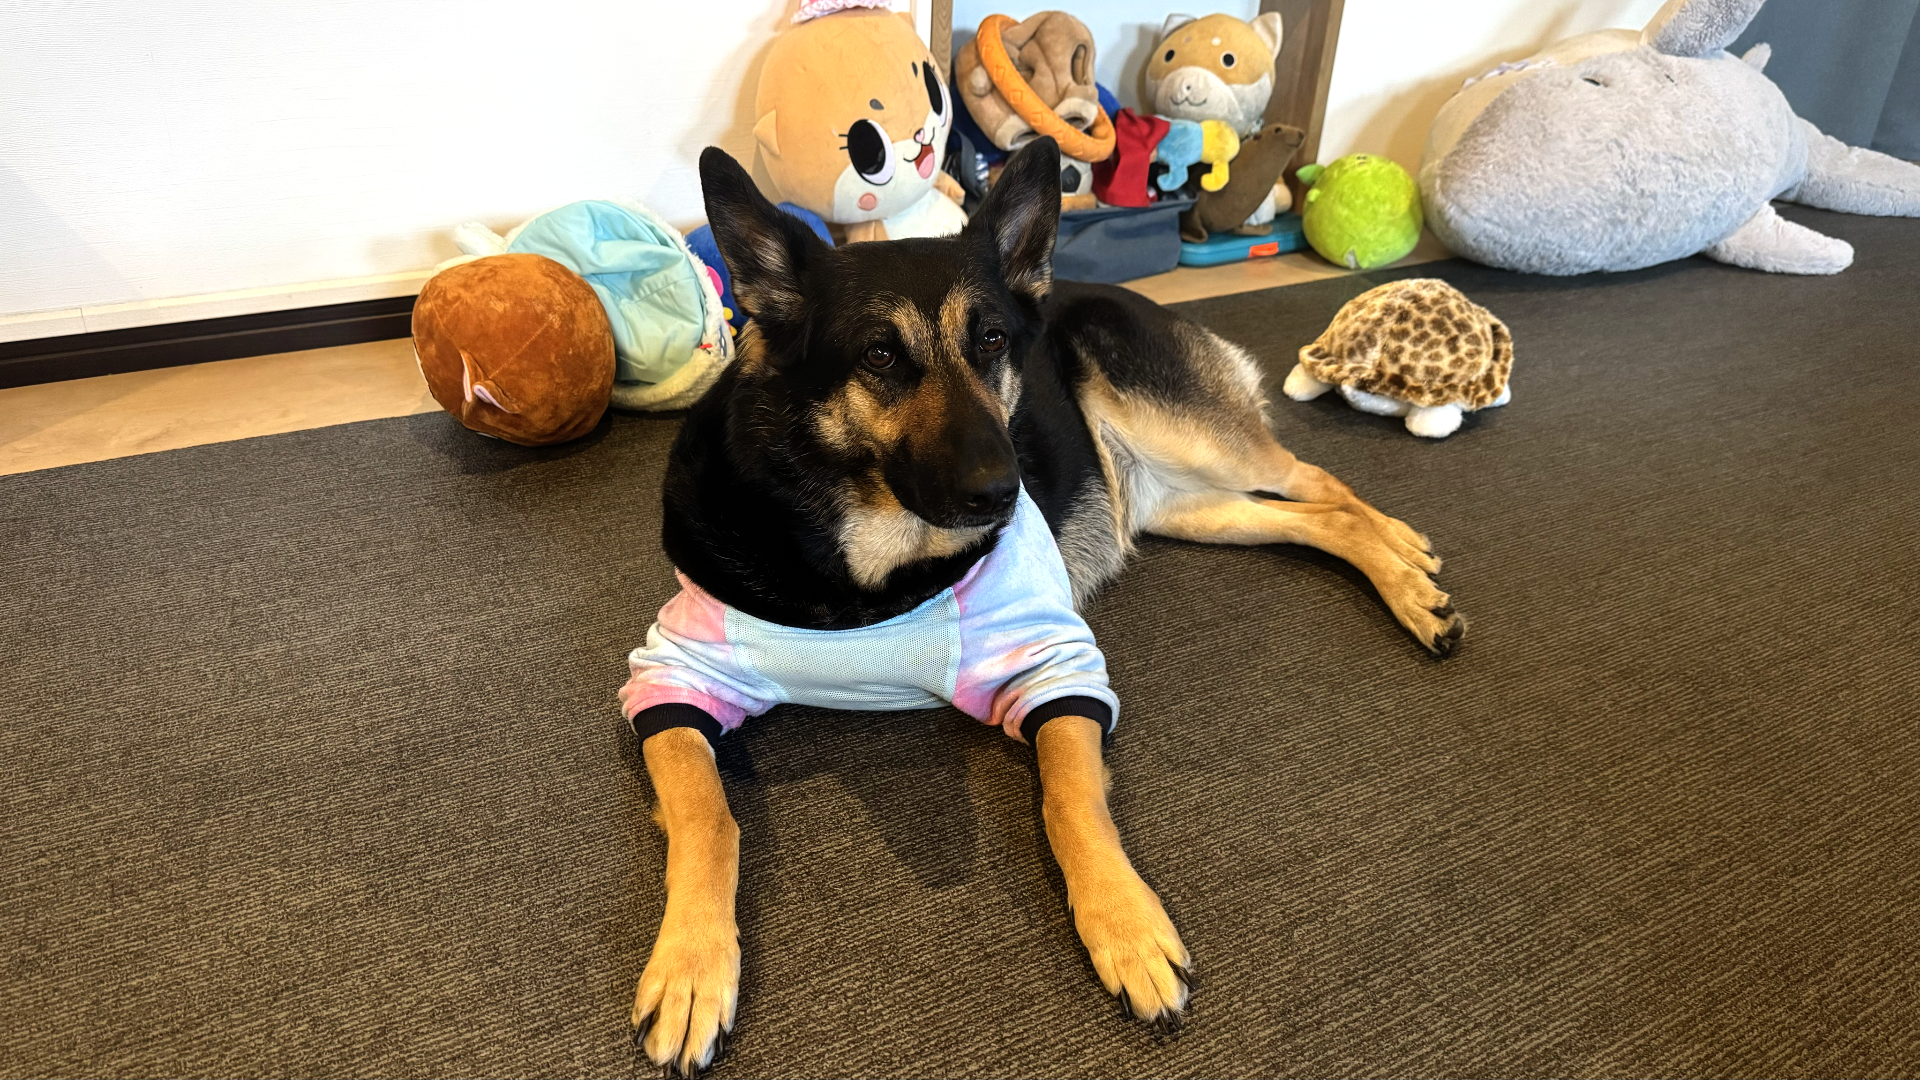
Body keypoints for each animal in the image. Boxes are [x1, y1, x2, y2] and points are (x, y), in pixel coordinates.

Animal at [621, 136, 1463, 1075]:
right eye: (879, 356)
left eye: (991, 341)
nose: (1006, 489)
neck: (866, 562)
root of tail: (1103, 288)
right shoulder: (671, 676)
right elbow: (706, 812)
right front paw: (691, 965)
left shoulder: (1055, 663)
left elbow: (1072, 799)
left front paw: (1125, 926)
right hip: (1184, 505)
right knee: (1312, 518)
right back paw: (1405, 574)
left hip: (1192, 440)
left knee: (1320, 482)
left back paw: (1408, 568)